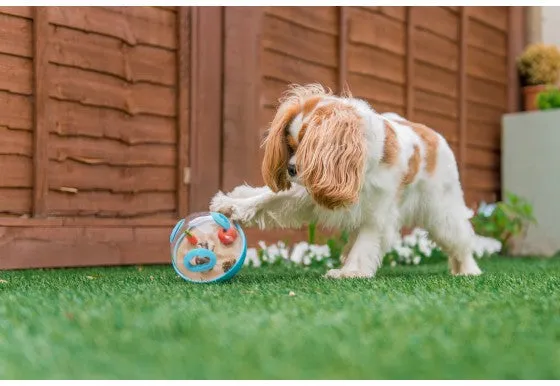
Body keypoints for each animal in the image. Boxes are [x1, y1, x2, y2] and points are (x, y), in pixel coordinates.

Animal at [210, 83, 482, 278]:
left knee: (461, 241)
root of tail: (435, 135)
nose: (291, 169)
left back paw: (468, 271)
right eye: (291, 145)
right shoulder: (315, 188)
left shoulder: (378, 213)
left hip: (443, 213)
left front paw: (351, 272)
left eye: (308, 146)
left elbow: (366, 243)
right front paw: (233, 205)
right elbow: (268, 197)